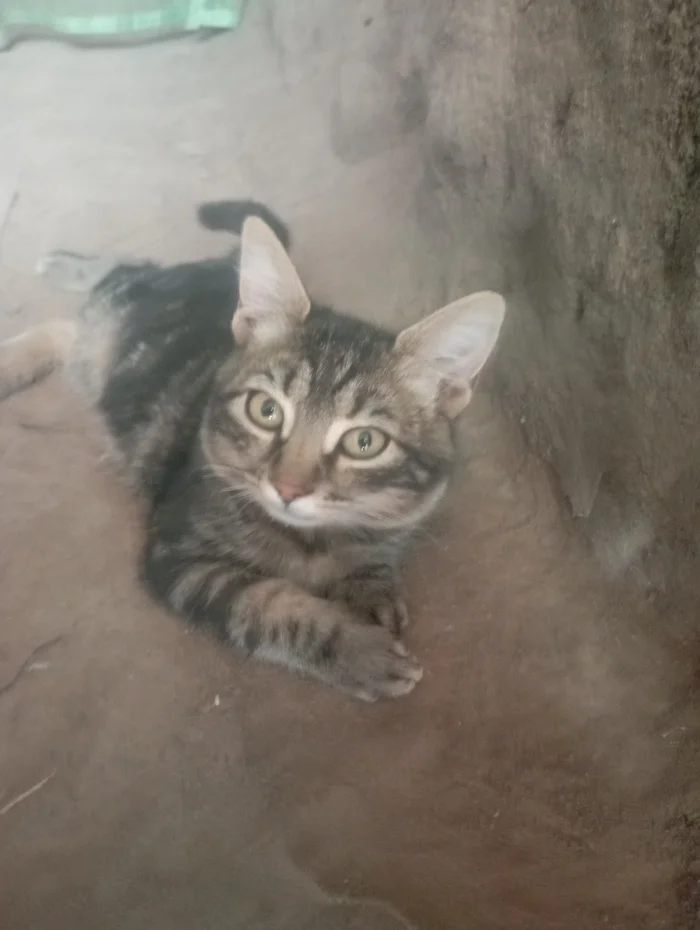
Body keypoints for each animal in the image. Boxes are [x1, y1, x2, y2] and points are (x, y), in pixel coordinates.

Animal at [0, 199, 504, 700]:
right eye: (266, 410)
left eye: (364, 442)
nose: (288, 489)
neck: (309, 542)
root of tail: (219, 268)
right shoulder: (181, 557)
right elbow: (268, 604)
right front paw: (354, 647)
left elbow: (374, 553)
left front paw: (368, 590)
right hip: (111, 326)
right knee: (112, 284)